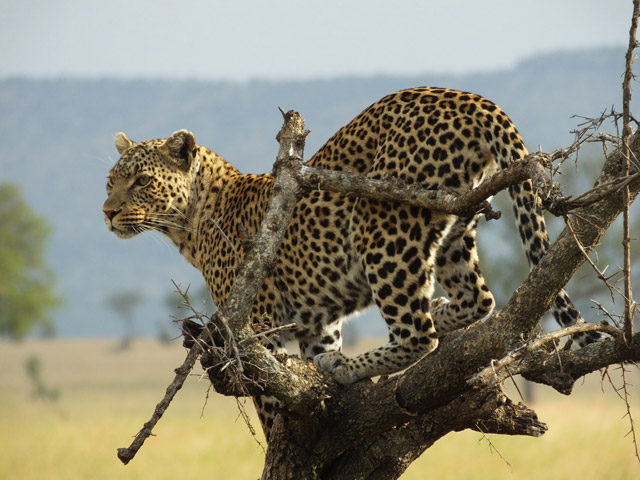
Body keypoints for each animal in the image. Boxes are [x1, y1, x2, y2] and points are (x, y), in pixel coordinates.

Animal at [102, 86, 604, 438]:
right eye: (110, 181)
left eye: (141, 181)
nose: (106, 211)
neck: (190, 222)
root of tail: (469, 97)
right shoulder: (316, 323)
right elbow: (307, 371)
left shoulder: (255, 327)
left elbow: (269, 406)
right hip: (455, 224)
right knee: (479, 299)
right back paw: (432, 317)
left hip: (381, 223)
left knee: (419, 333)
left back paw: (352, 365)